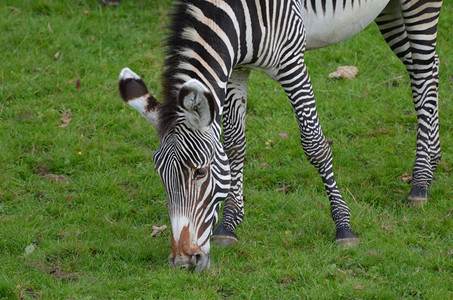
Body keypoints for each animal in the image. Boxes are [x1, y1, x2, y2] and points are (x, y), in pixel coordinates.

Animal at [116, 0, 442, 272]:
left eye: (200, 172)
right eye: (160, 174)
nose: (184, 261)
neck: (233, 13)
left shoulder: (291, 62)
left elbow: (314, 143)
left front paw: (344, 226)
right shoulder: (237, 67)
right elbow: (234, 144)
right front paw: (229, 224)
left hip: (420, 6)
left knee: (424, 72)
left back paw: (420, 182)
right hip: (390, 9)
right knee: (428, 69)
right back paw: (433, 159)